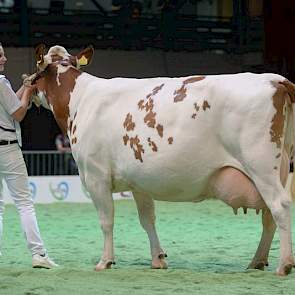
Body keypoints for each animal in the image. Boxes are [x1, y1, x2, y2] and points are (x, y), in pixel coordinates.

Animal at [26, 45, 295, 276]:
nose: (27, 85)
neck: (81, 99)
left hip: (260, 164)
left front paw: (105, 261)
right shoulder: (138, 183)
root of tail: (275, 80)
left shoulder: (95, 175)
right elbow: (148, 219)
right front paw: (158, 259)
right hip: (280, 167)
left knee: (279, 206)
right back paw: (257, 261)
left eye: (38, 66)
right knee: (269, 216)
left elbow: (106, 220)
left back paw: (283, 264)